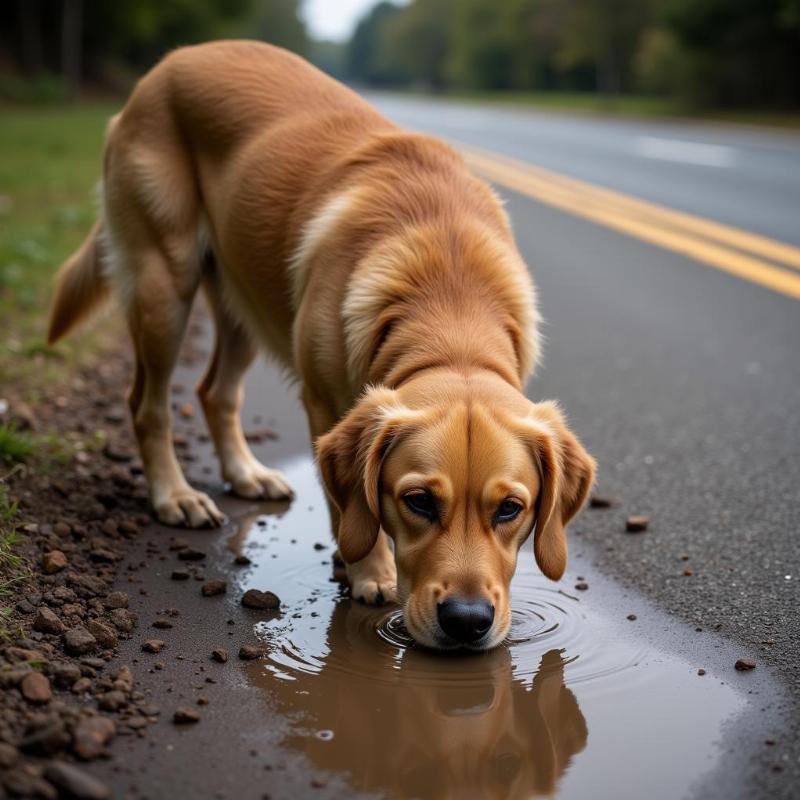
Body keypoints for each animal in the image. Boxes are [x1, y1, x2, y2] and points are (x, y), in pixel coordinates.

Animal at [45, 39, 592, 648]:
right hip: (165, 284)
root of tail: (168, 63)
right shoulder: (324, 403)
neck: (449, 306)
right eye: (419, 501)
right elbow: (346, 505)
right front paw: (371, 570)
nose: (467, 622)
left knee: (215, 392)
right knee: (148, 403)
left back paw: (246, 473)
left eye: (510, 509)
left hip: (244, 302)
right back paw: (176, 496)